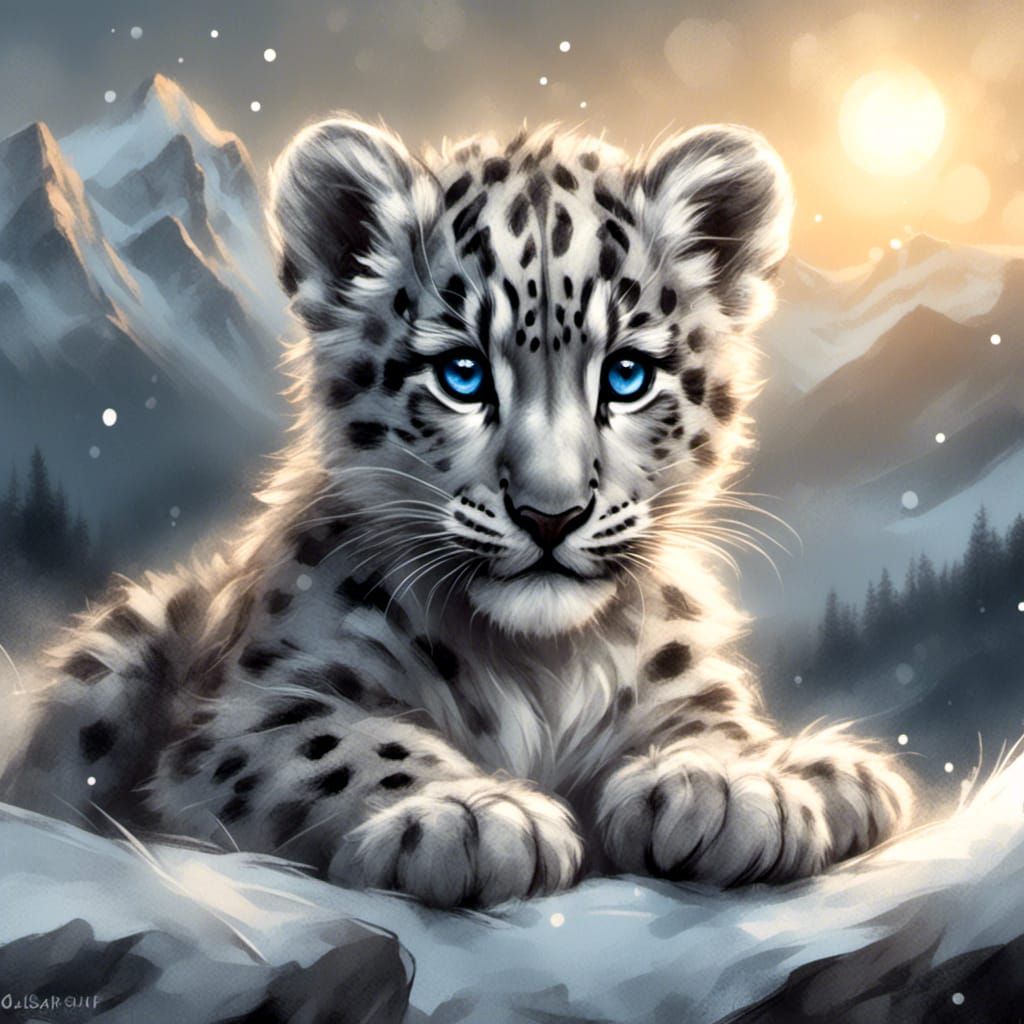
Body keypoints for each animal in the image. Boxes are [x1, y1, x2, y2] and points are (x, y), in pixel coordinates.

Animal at [1, 116, 913, 908]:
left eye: (626, 374)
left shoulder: (684, 680)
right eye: (463, 373)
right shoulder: (247, 715)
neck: (542, 664)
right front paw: (473, 818)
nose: (551, 515)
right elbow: (346, 742)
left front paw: (728, 784)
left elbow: (712, 718)